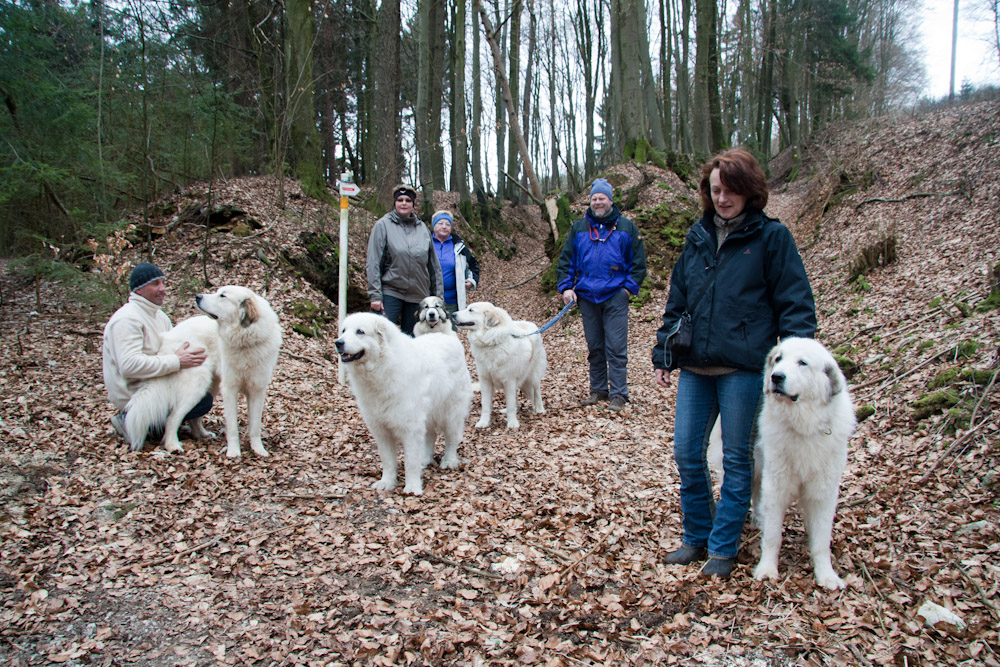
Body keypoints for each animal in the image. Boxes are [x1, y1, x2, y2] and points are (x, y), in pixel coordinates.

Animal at [195, 284, 282, 462]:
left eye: (222, 296)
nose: (197, 296)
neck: (244, 340)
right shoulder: (229, 389)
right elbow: (232, 426)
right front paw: (234, 451)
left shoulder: (257, 390)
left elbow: (255, 425)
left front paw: (258, 449)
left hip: (211, 388)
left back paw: (201, 434)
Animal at [336, 314, 472, 496]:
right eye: (344, 331)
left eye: (360, 332)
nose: (338, 342)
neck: (383, 366)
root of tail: (446, 336)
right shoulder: (381, 430)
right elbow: (387, 460)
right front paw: (387, 482)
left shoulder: (410, 428)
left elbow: (410, 462)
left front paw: (412, 487)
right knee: (430, 436)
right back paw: (425, 459)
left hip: (451, 413)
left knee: (452, 439)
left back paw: (449, 461)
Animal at [454, 302, 548, 430]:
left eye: (471, 310)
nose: (453, 314)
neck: (491, 342)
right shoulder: (486, 381)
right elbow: (486, 405)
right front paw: (483, 422)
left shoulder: (509, 380)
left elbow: (511, 404)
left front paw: (512, 423)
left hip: (532, 376)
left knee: (536, 391)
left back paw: (539, 409)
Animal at [752, 340, 856, 588]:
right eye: (778, 358)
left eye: (802, 362)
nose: (776, 377)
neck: (803, 427)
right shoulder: (776, 485)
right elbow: (773, 536)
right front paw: (767, 569)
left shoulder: (823, 491)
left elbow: (821, 541)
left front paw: (826, 575)